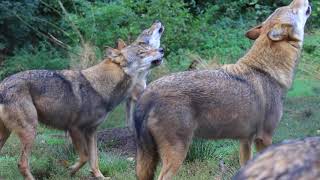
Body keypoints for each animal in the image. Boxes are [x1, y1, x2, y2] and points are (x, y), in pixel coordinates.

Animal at [134, 0, 312, 179]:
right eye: (292, 9)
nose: (303, 1)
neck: (266, 71)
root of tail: (147, 93)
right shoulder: (264, 138)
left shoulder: (245, 140)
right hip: (177, 154)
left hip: (147, 161)